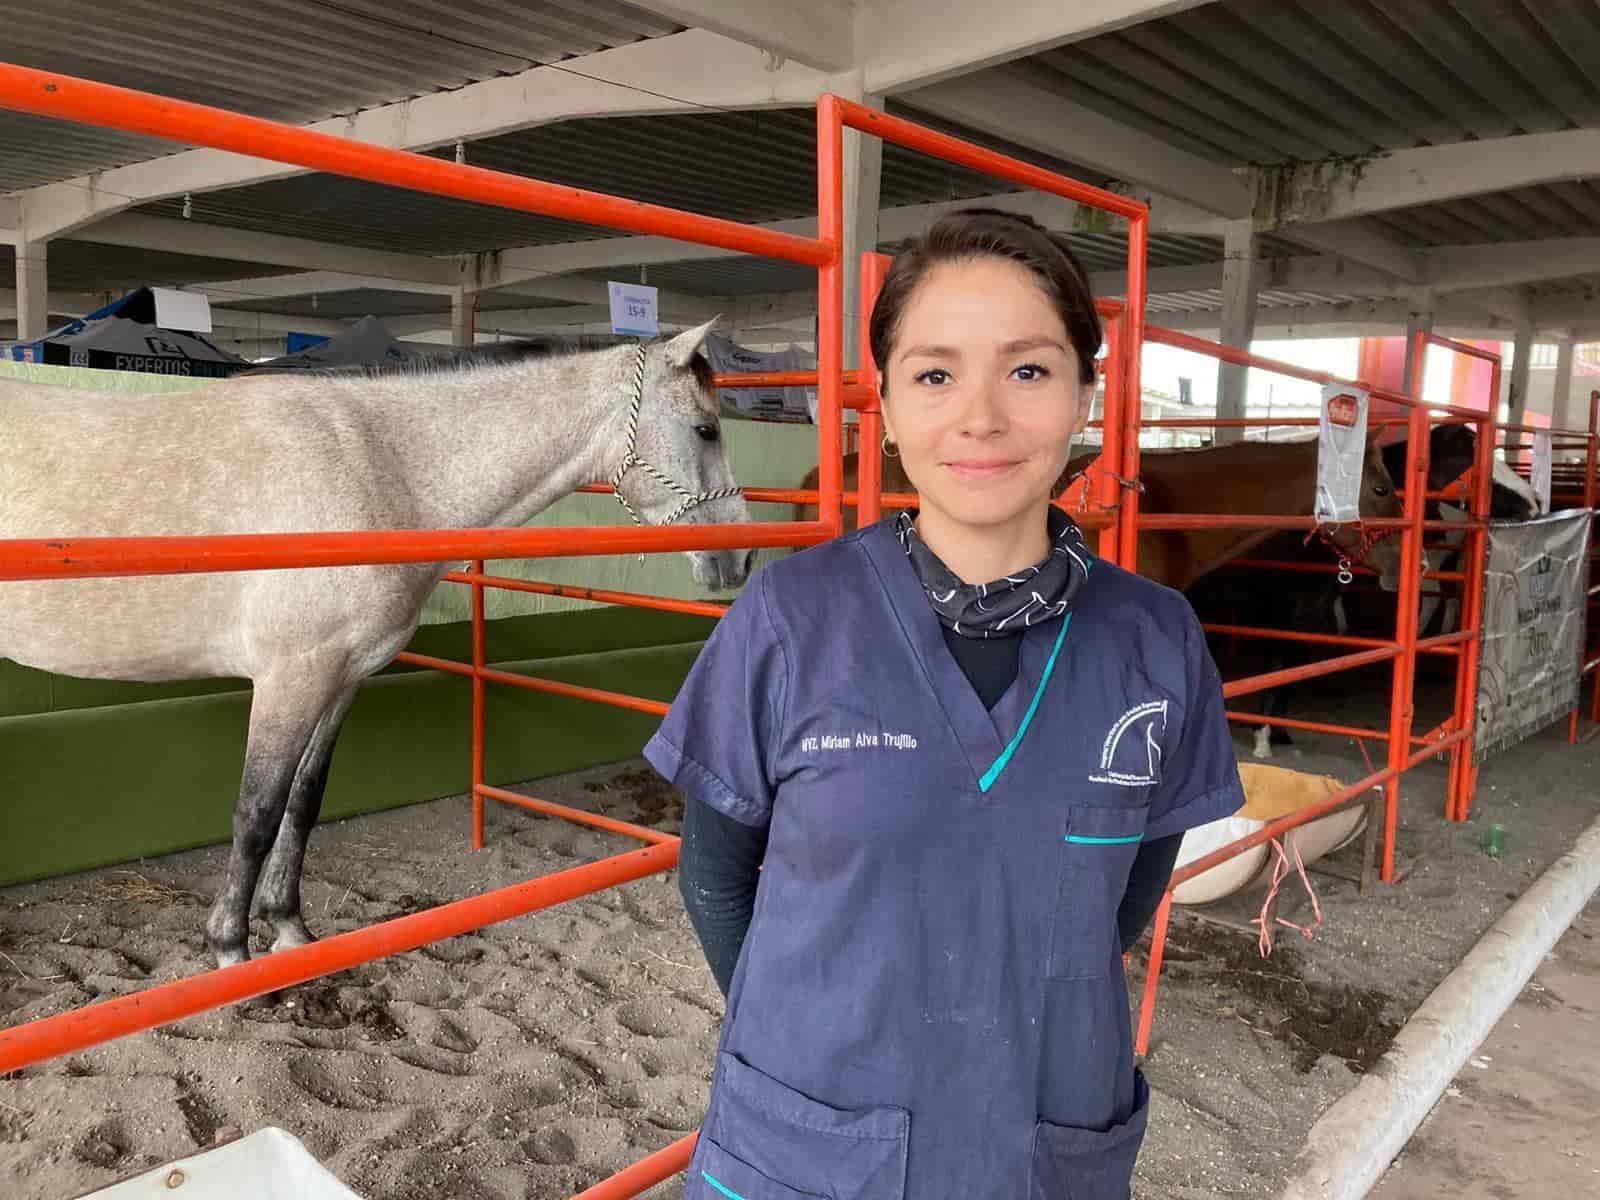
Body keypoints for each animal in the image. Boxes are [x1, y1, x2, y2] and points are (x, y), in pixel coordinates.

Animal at [0, 316, 752, 966]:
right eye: (706, 429)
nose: (739, 558)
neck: (379, 465)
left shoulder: (342, 678)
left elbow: (304, 802)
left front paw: (288, 927)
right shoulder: (290, 678)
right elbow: (257, 810)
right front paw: (229, 946)